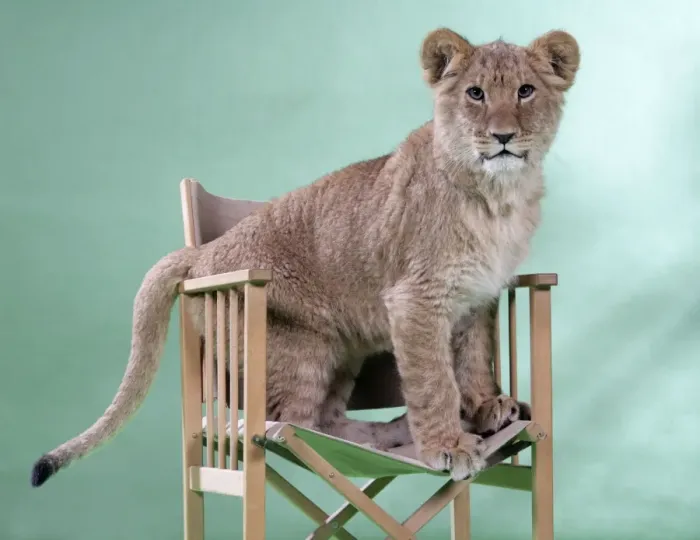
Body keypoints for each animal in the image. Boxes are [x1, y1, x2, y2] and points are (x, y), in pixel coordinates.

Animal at [30, 26, 579, 487]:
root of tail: (200, 253)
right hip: (302, 349)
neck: (498, 196)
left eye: (525, 91)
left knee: (327, 420)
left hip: (343, 350)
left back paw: (391, 434)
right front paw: (447, 445)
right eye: (475, 94)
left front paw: (486, 407)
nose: (503, 136)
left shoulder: (476, 298)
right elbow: (434, 379)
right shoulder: (416, 299)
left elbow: (473, 362)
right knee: (293, 424)